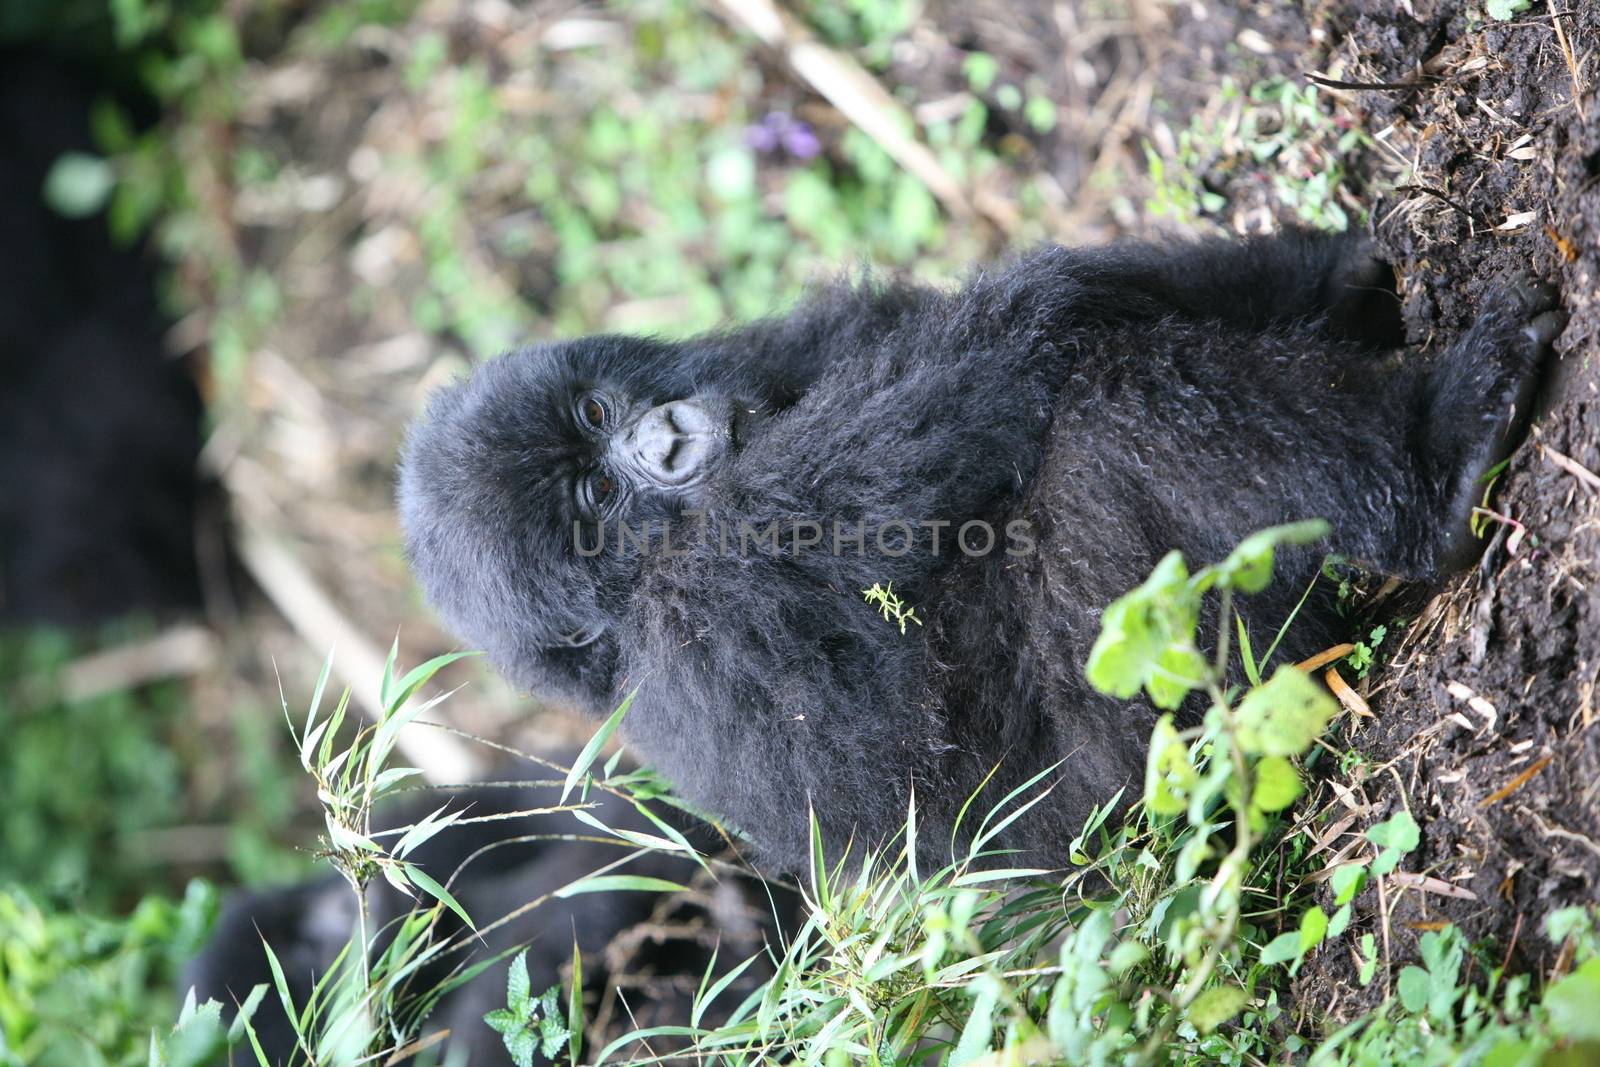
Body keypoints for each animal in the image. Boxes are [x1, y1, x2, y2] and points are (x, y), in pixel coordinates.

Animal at [396, 233, 1561, 876]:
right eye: (598, 497)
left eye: (594, 416)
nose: (665, 440)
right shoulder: (715, 571)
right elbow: (1024, 337)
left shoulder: (770, 355)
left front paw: (1332, 270)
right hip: (1157, 769)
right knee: (1112, 414)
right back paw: (1434, 464)